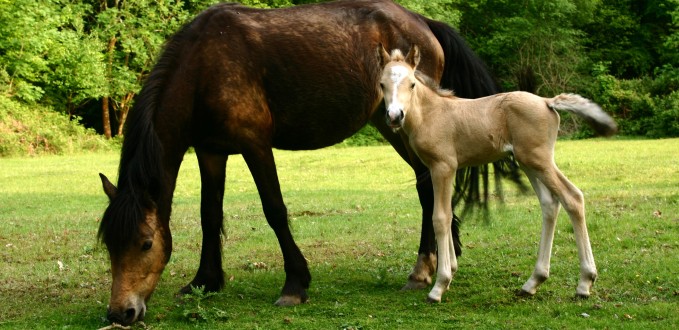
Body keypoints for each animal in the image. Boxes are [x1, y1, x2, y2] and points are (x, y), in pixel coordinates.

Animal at [99, 0, 504, 324]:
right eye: (109, 245)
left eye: (145, 243)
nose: (121, 312)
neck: (203, 66)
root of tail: (423, 21)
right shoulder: (210, 151)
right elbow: (209, 215)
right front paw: (205, 281)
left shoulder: (255, 145)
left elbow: (274, 210)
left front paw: (294, 284)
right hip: (389, 123)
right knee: (427, 187)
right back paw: (440, 257)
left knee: (426, 185)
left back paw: (422, 269)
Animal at [378, 45, 616, 302]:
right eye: (382, 84)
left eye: (411, 84)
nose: (395, 116)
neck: (431, 113)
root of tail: (547, 101)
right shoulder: (439, 169)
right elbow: (448, 214)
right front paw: (451, 272)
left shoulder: (443, 166)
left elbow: (440, 217)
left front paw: (440, 285)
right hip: (528, 162)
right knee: (550, 204)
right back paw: (533, 282)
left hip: (540, 160)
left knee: (572, 197)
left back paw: (584, 282)